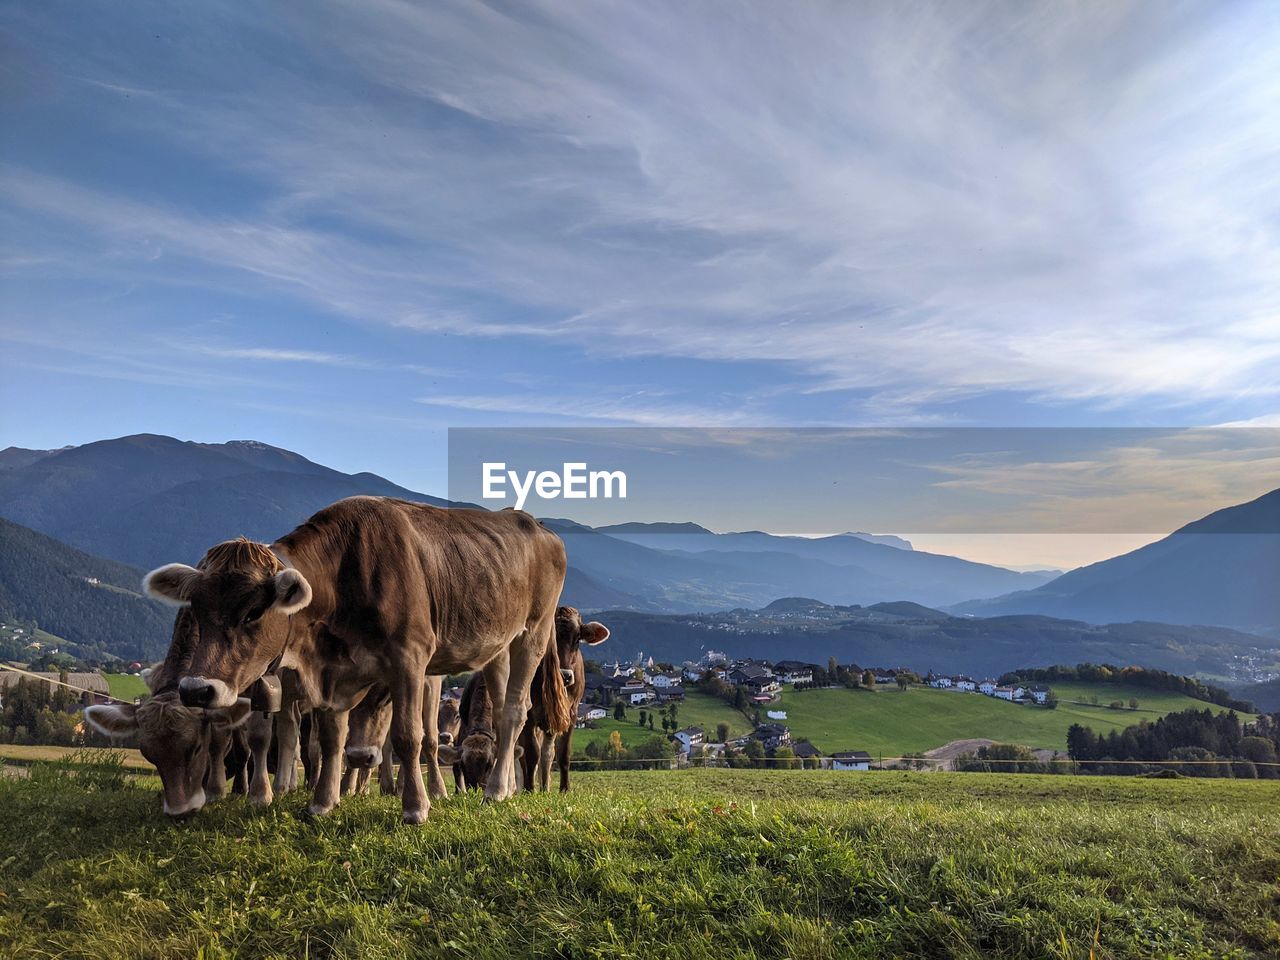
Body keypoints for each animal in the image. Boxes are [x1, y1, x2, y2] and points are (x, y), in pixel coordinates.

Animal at [138, 499, 570, 824]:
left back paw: (494, 791)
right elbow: (332, 739)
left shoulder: (410, 657)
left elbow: (407, 736)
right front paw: (323, 802)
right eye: (196, 608)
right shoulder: (335, 672)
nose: (196, 689)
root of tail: (533, 523)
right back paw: (507, 786)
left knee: (515, 710)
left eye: (253, 612)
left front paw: (416, 808)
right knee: (501, 713)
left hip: (532, 632)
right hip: (497, 645)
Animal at [517, 611, 606, 793]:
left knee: (547, 754)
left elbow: (562, 753)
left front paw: (564, 789)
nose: (564, 675)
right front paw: (529, 790)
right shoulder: (529, 716)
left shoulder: (569, 714)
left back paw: (545, 788)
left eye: (578, 638)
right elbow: (531, 754)